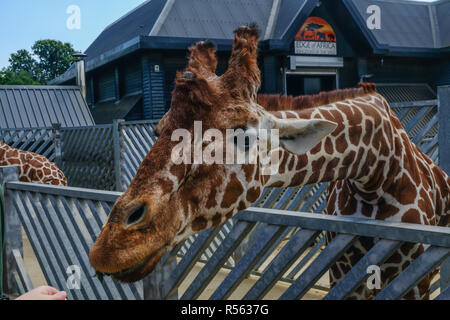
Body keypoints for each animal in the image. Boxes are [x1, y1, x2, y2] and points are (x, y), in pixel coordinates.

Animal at [89, 25, 450, 300]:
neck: (377, 171)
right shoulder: (342, 268)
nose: (112, 246)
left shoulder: (415, 276)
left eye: (244, 137)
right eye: (158, 129)